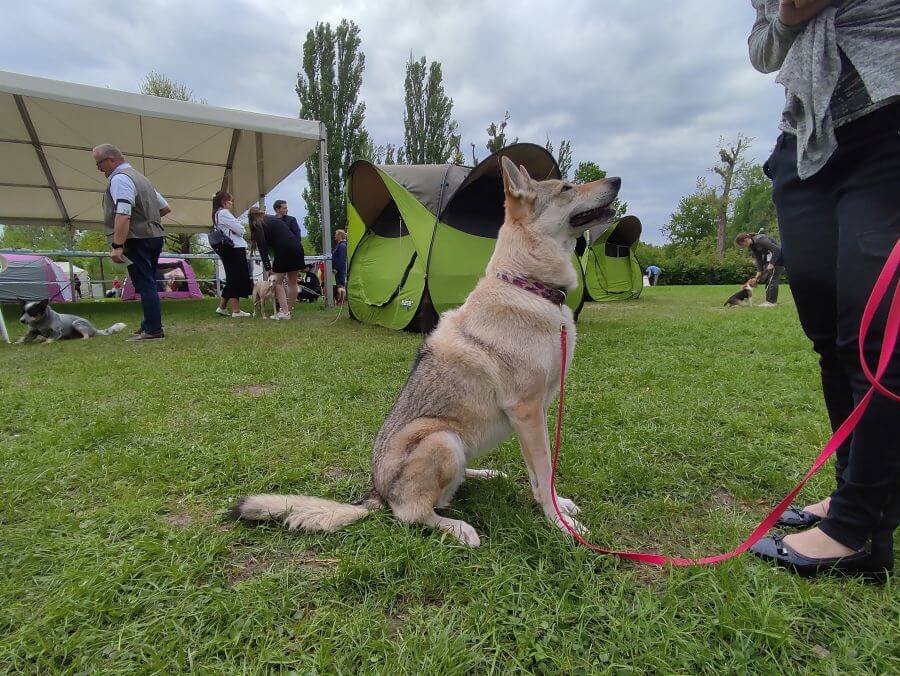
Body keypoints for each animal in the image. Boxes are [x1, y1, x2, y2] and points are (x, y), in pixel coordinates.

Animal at [232, 156, 624, 548]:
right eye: (567, 188)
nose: (618, 180)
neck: (529, 287)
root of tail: (376, 493)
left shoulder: (536, 413)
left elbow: (541, 474)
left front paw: (559, 507)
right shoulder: (527, 412)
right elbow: (544, 472)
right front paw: (562, 525)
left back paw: (485, 473)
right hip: (442, 438)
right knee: (412, 513)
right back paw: (459, 528)